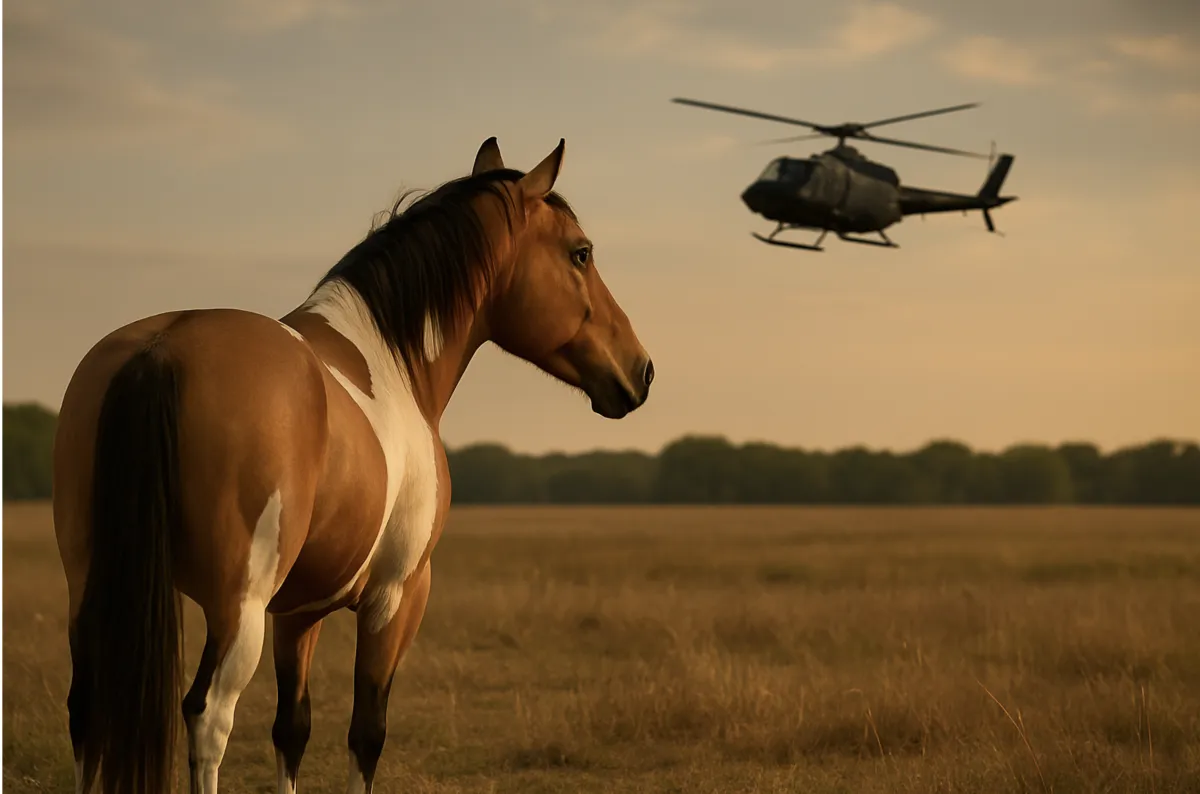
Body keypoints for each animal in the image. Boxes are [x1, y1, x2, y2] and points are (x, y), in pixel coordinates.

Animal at [52, 136, 654, 794]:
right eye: (581, 253)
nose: (642, 370)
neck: (395, 365)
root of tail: (162, 346)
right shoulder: (396, 597)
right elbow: (367, 733)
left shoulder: (297, 614)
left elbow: (292, 730)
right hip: (237, 609)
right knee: (208, 716)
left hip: (94, 586)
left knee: (88, 712)